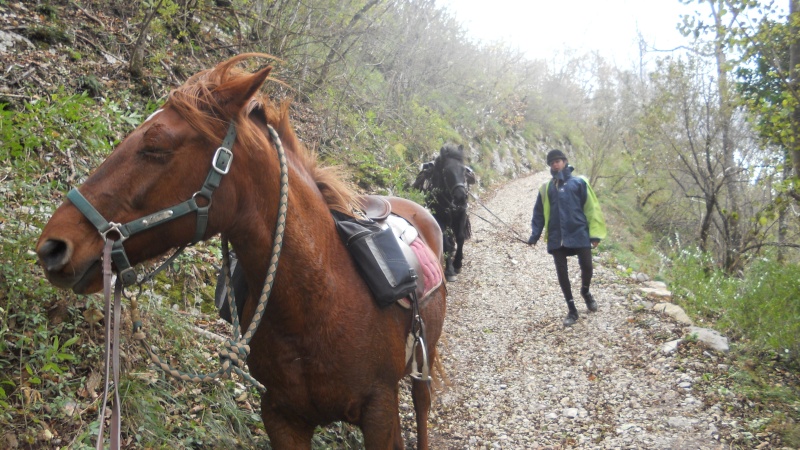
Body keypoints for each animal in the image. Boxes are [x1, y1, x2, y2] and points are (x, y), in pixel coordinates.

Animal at [34, 53, 446, 450]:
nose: (52, 247)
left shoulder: (379, 412)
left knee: (423, 410)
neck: (319, 302)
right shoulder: (282, 419)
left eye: (155, 147)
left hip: (422, 369)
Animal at [412, 142, 476, 282]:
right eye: (446, 171)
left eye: (463, 170)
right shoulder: (439, 218)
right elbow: (445, 241)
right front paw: (450, 270)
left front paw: (457, 263)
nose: (461, 197)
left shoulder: (461, 214)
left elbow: (460, 237)